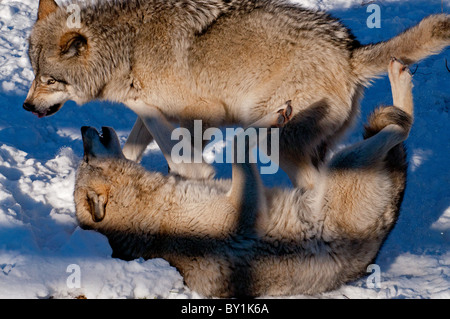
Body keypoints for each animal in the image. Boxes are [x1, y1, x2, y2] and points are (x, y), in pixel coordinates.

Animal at [25, 0, 450, 189]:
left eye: (50, 80)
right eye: (34, 74)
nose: (27, 105)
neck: (127, 48)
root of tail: (349, 49)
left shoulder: (204, 114)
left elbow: (174, 148)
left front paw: (194, 174)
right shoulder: (158, 111)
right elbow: (137, 141)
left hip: (276, 138)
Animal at [74, 59, 414, 298]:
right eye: (86, 159)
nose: (82, 128)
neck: (149, 207)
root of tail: (383, 232)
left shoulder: (199, 171)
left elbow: (154, 117)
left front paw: (128, 93)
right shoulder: (246, 205)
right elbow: (239, 142)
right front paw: (275, 116)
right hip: (346, 163)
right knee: (402, 127)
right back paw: (399, 81)